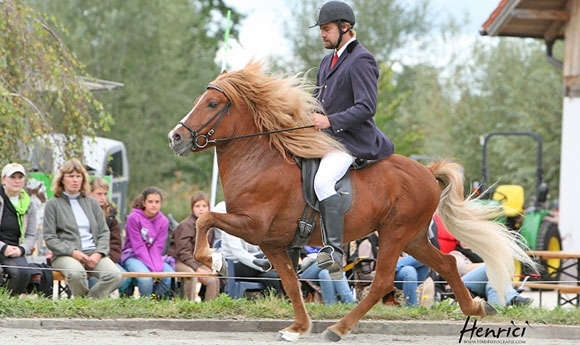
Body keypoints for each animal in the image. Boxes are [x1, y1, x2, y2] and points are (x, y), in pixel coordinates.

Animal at [167, 61, 536, 342]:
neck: (260, 162)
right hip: (413, 237)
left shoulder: (253, 225)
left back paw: (338, 329)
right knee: (445, 263)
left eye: (212, 104)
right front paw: (298, 327)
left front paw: (212, 259)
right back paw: (476, 308)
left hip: (395, 234)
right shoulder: (271, 242)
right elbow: (291, 283)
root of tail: (428, 173)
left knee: (382, 282)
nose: (175, 137)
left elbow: (206, 219)